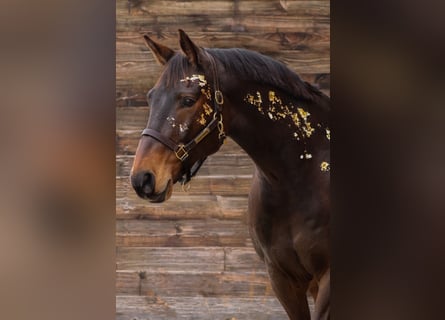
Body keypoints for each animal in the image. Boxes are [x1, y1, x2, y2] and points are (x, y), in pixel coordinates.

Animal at [129, 29, 330, 318]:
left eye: (188, 100)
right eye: (150, 97)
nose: (142, 178)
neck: (303, 175)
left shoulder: (327, 281)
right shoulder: (282, 278)